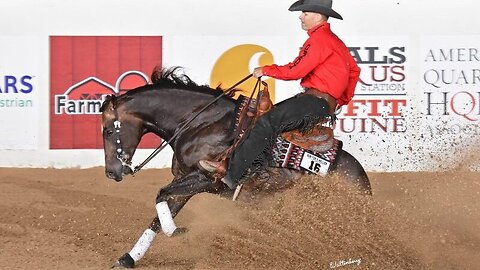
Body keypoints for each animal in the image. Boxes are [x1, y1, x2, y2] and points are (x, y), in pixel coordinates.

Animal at [100, 66, 372, 266]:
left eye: (107, 130)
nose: (111, 172)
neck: (200, 123)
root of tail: (361, 179)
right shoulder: (185, 181)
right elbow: (160, 213)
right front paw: (128, 259)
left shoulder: (204, 178)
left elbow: (160, 195)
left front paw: (176, 232)